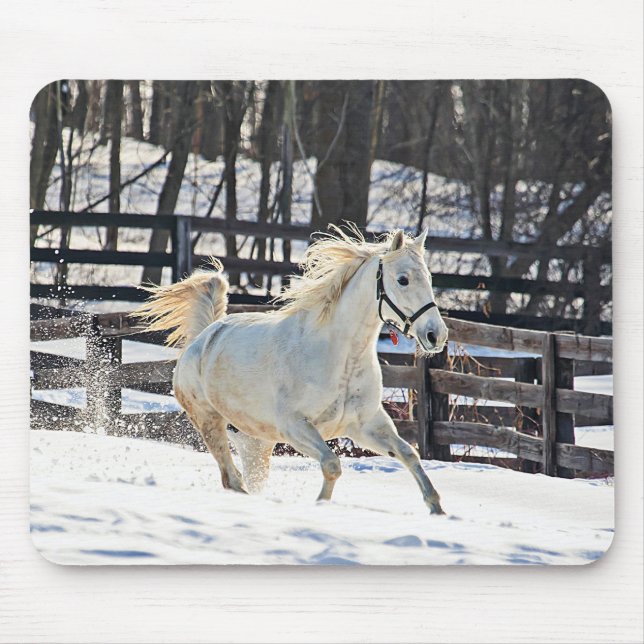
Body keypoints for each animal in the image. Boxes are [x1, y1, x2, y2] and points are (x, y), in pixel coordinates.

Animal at [133, 226, 449, 514]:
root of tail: (202, 338)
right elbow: (332, 464)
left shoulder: (366, 425)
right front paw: (320, 505)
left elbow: (409, 453)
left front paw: (437, 510)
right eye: (403, 279)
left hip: (256, 442)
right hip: (209, 422)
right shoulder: (295, 426)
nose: (436, 335)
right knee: (231, 478)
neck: (340, 358)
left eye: (429, 278)